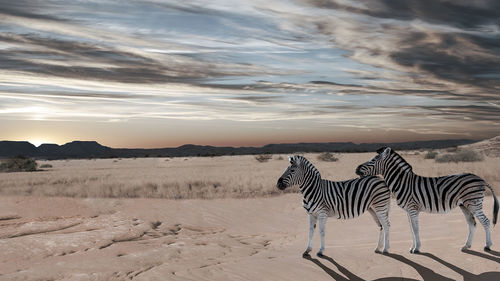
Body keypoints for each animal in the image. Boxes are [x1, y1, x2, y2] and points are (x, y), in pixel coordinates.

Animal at [354, 147, 498, 252]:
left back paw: (487, 245)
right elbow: (411, 229)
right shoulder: (408, 210)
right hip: (465, 205)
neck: (404, 183)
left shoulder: (412, 208)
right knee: (472, 224)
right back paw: (466, 246)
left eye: (374, 159)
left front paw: (417, 248)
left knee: (485, 221)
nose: (356, 169)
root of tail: (480, 178)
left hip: (474, 203)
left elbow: (416, 228)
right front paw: (412, 247)